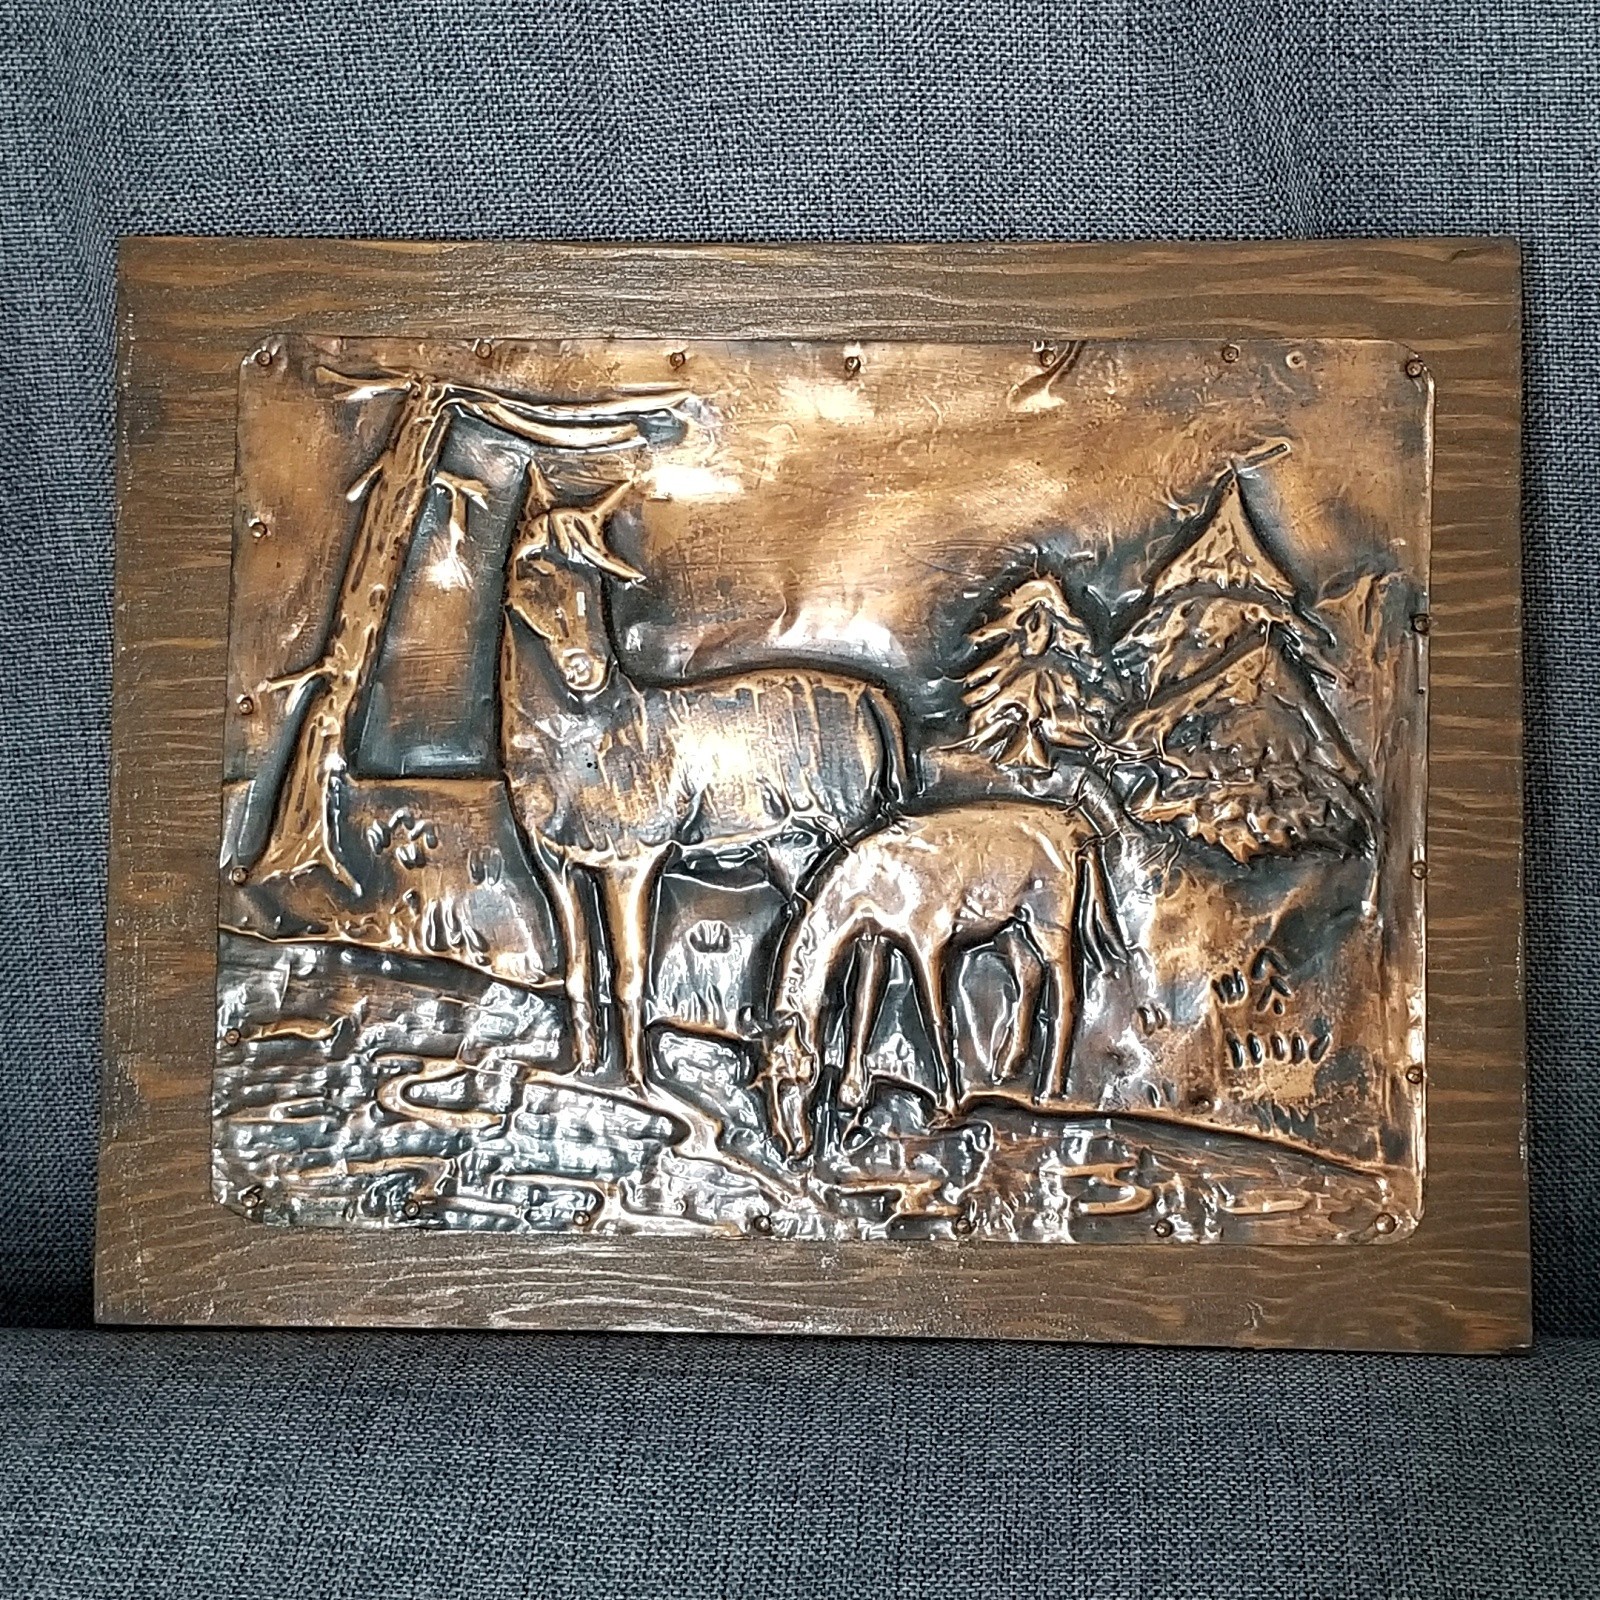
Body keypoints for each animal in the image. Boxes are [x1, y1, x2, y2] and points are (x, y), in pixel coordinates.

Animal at [498, 469, 910, 1099]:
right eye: (531, 563)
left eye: (597, 577)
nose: (586, 668)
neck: (582, 738)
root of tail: (876, 698)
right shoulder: (554, 862)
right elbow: (578, 970)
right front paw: (579, 1071)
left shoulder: (635, 860)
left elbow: (630, 973)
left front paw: (636, 1086)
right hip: (795, 851)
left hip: (852, 837)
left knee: (870, 955)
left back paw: (850, 1088)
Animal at [762, 797, 1126, 1160]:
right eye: (766, 1081)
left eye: (798, 1078)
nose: (792, 1145)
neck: (867, 881)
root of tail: (1076, 826)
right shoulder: (874, 940)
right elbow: (863, 1007)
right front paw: (851, 1093)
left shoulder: (927, 941)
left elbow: (936, 1019)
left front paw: (948, 1108)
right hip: (1010, 926)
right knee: (1029, 973)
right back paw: (1007, 1066)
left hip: (1048, 920)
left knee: (1066, 989)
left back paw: (1047, 1092)